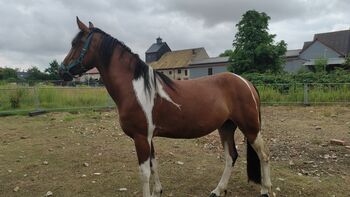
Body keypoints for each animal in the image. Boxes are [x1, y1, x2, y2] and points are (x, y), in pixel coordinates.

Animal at [59, 17, 274, 196]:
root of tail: (246, 82)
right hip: (226, 127)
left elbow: (144, 172)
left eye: (76, 44)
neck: (136, 88)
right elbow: (154, 165)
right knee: (231, 157)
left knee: (263, 155)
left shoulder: (140, 137)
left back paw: (265, 189)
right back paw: (218, 190)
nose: (62, 71)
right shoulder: (148, 138)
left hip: (250, 128)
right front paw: (158, 191)